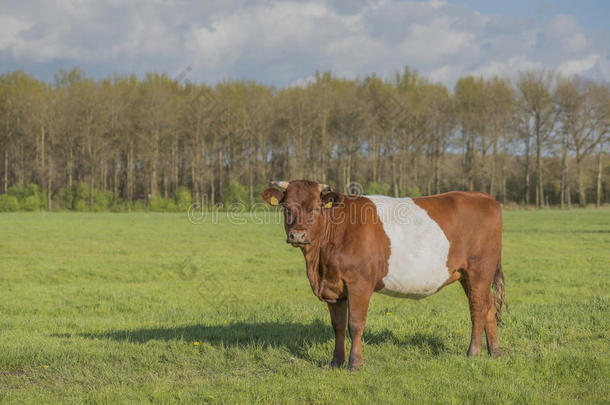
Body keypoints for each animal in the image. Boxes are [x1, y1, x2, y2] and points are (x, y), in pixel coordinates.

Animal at [260, 178, 504, 370]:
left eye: (316, 208)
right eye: (286, 207)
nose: (298, 235)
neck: (318, 263)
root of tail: (484, 197)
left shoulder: (359, 283)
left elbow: (355, 324)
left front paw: (354, 364)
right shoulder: (333, 287)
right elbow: (338, 325)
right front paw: (336, 362)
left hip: (479, 270)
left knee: (477, 309)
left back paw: (473, 352)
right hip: (467, 274)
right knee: (488, 306)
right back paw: (495, 352)